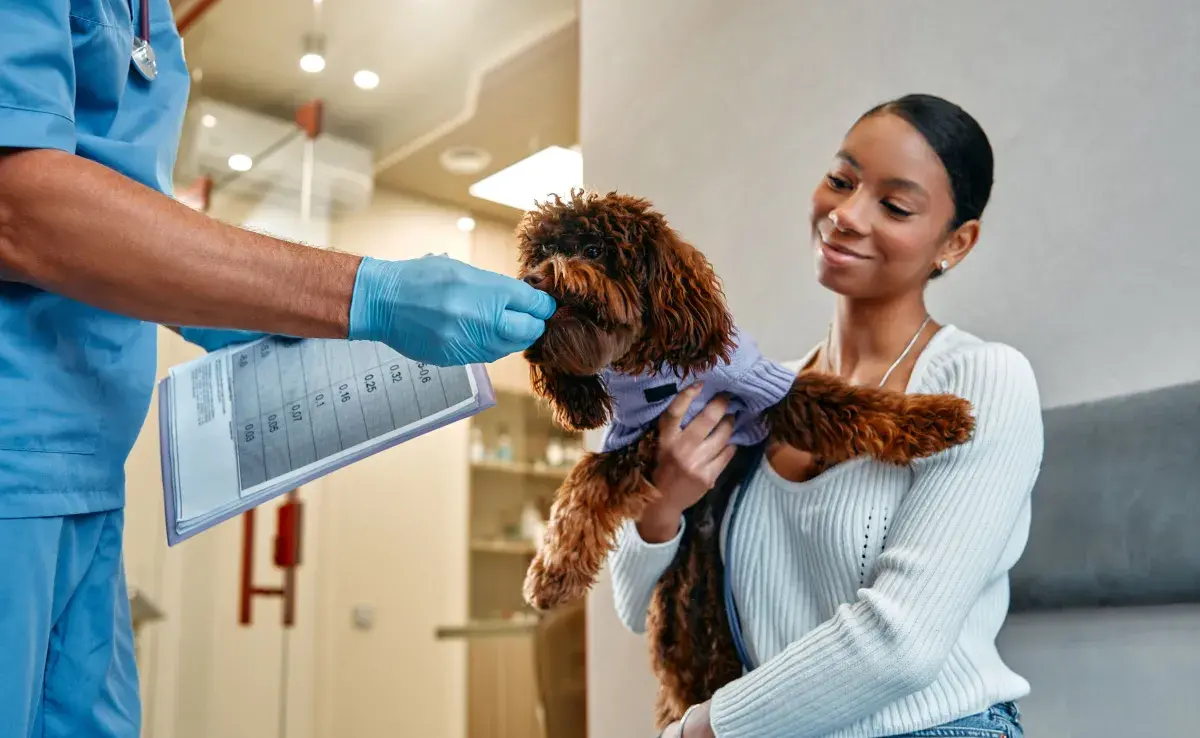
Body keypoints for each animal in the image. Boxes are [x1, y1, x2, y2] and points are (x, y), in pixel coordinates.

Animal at [516, 189, 974, 729]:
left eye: (592, 248)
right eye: (541, 253)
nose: (533, 278)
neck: (652, 365)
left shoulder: (765, 395)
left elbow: (855, 403)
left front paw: (940, 415)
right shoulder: (639, 437)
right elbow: (586, 481)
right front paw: (552, 573)